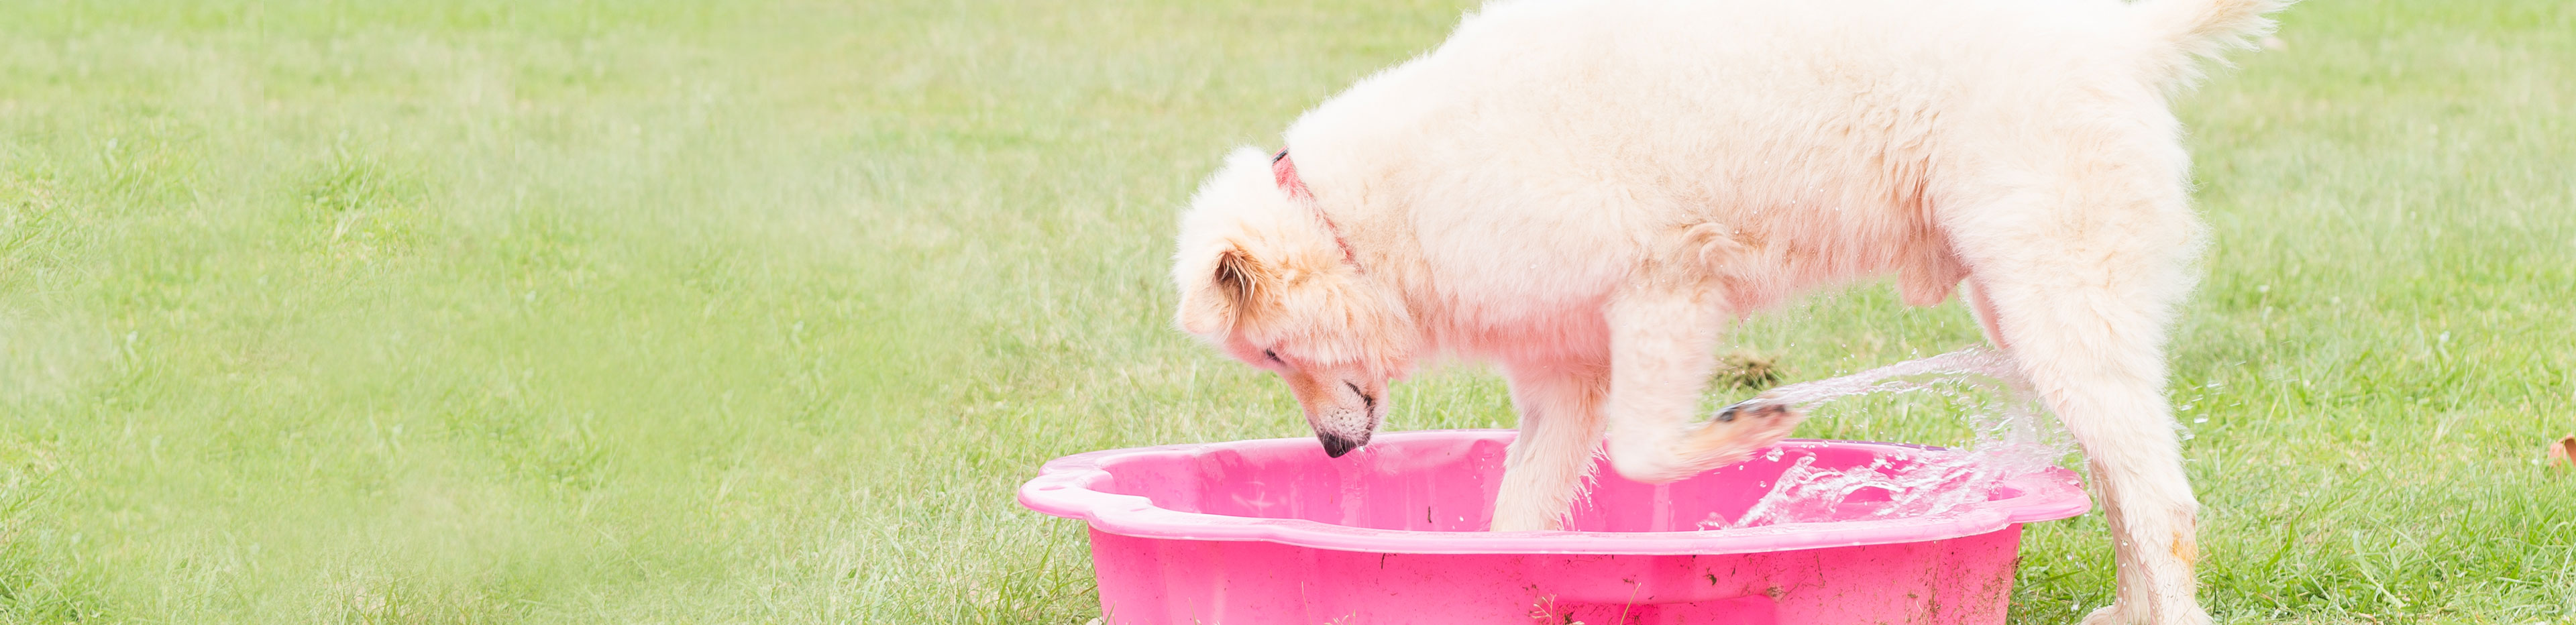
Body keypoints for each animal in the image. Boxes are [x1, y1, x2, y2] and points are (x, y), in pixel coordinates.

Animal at [1169, 1, 2277, 620]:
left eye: (1272, 357)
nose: (1333, 456)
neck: (1382, 210)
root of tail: (2118, 36)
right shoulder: (1564, 378)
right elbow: (1517, 521)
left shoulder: (1668, 287)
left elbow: (1645, 450)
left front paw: (1754, 426)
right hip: (2026, 309)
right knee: (2129, 490)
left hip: (2060, 298)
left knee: (2166, 506)